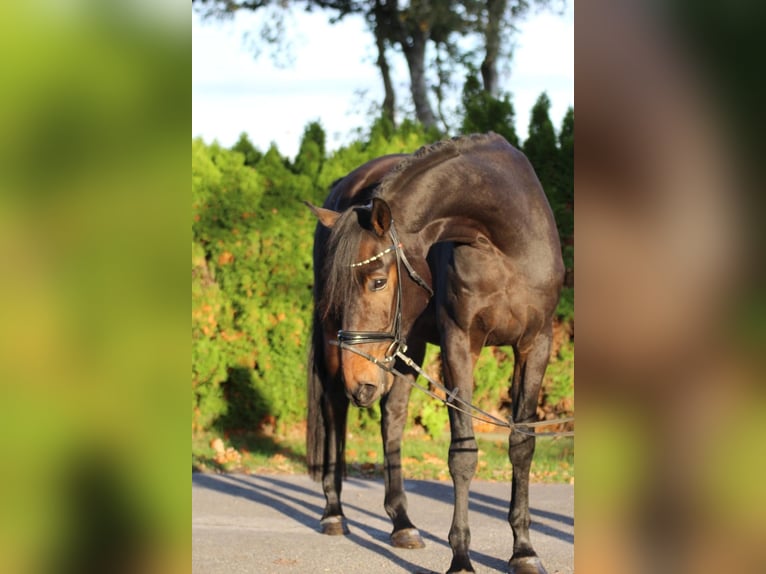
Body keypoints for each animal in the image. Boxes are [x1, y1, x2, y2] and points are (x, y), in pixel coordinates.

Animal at [306, 132, 564, 574]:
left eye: (378, 281)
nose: (361, 379)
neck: (506, 244)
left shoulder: (536, 344)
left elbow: (522, 444)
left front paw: (525, 551)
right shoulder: (460, 342)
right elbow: (463, 452)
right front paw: (461, 558)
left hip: (408, 344)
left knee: (391, 417)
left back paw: (402, 524)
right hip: (334, 344)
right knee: (335, 409)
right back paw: (334, 513)